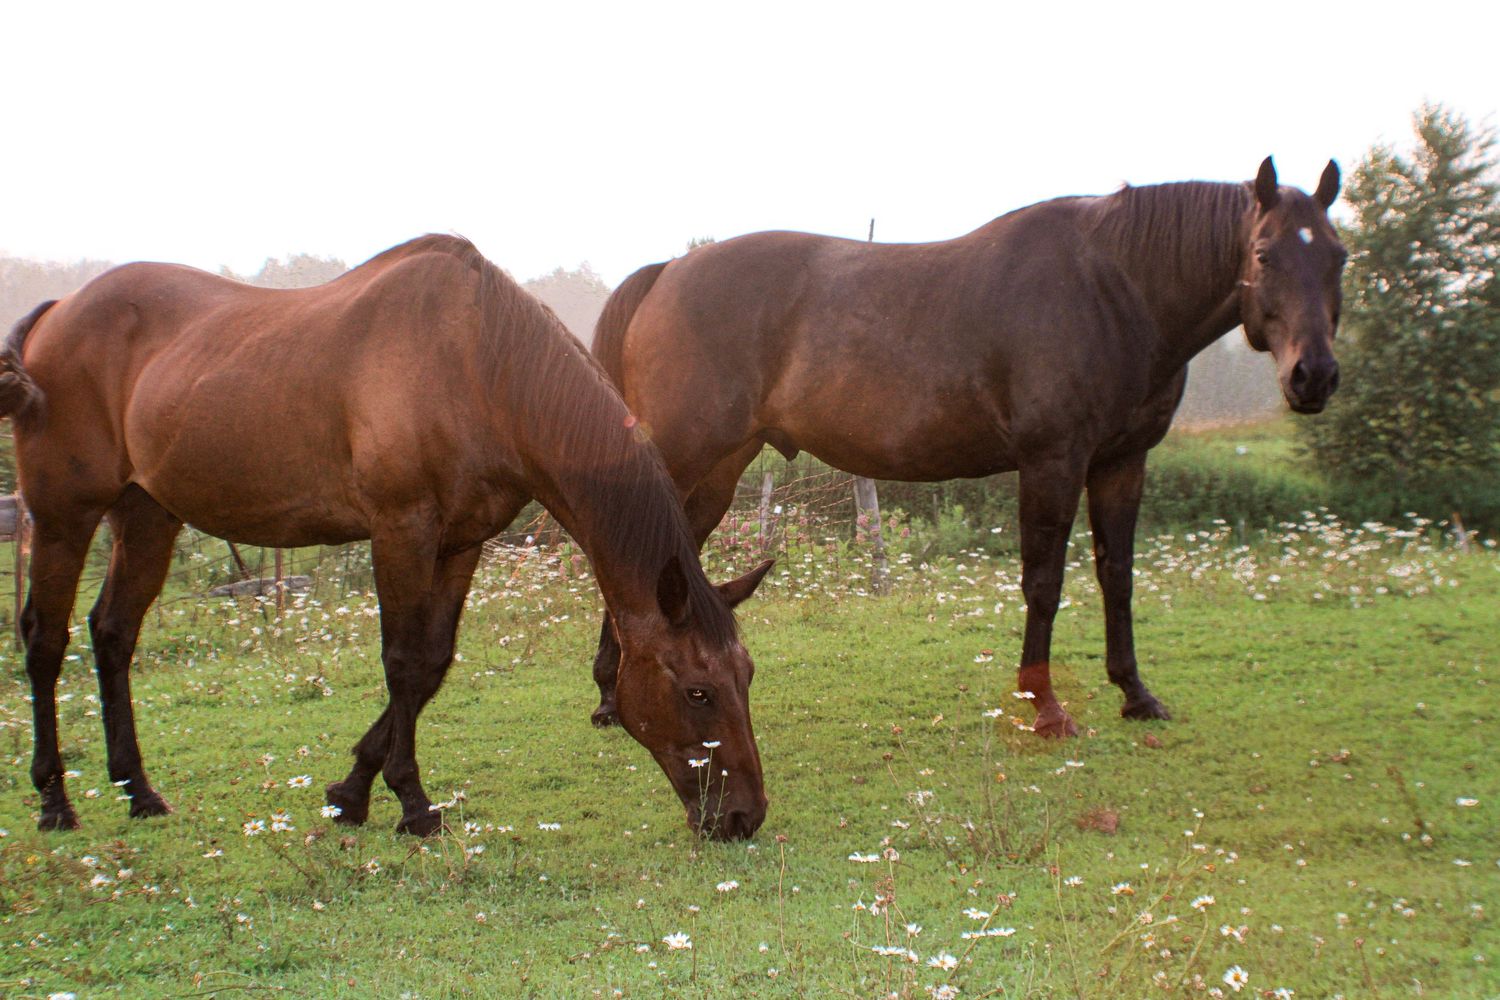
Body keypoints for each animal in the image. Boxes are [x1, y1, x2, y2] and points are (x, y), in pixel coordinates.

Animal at [0, 234, 773, 839]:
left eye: (746, 676)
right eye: (697, 692)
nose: (744, 816)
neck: (480, 363)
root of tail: (56, 314)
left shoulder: (462, 541)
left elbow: (430, 664)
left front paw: (350, 792)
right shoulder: (401, 529)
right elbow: (401, 662)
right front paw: (412, 804)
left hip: (146, 515)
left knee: (112, 634)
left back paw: (138, 792)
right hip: (63, 517)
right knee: (45, 640)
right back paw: (55, 802)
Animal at [587, 158, 1346, 738]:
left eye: (1339, 256)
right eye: (1264, 254)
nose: (1314, 377)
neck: (1113, 287)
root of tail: (668, 272)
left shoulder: (1122, 463)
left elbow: (1118, 576)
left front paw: (1136, 694)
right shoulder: (1052, 462)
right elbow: (1044, 582)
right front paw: (1045, 707)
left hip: (720, 468)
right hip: (686, 455)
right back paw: (611, 696)